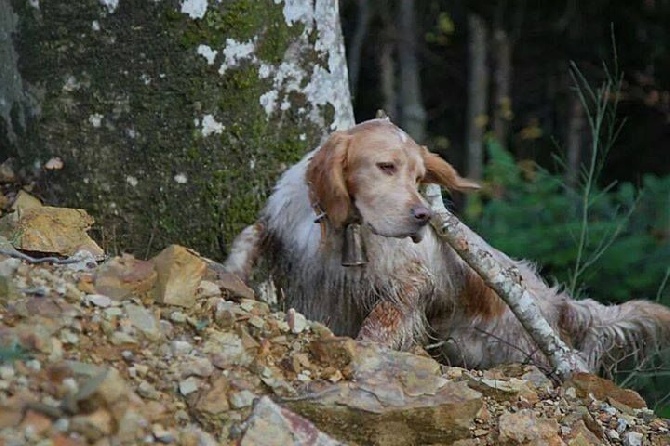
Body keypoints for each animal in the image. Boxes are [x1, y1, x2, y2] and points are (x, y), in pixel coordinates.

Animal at [226, 117, 670, 372]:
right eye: (385, 166)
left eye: (419, 176)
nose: (422, 215)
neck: (347, 229)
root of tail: (554, 303)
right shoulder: (285, 232)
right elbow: (250, 235)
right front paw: (232, 272)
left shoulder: (407, 286)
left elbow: (379, 323)